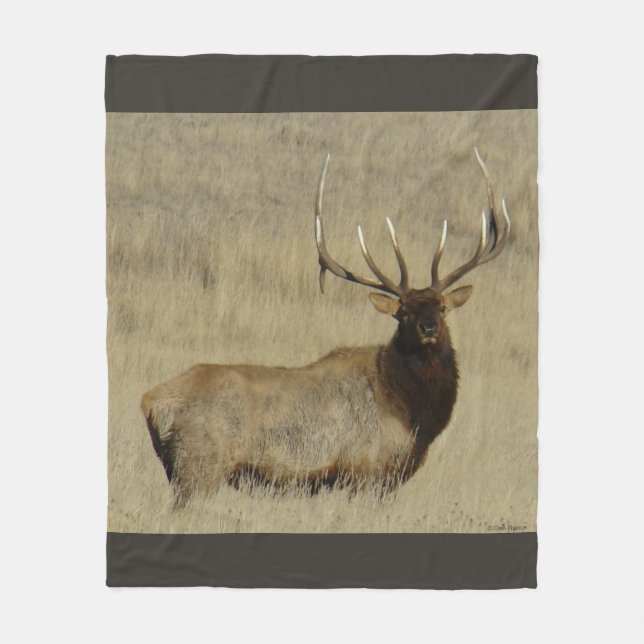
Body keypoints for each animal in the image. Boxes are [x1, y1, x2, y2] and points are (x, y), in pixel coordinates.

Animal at [141, 149, 510, 506]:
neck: (410, 414)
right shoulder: (364, 469)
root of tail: (152, 401)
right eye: (403, 312)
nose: (429, 327)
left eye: (442, 307)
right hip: (199, 465)